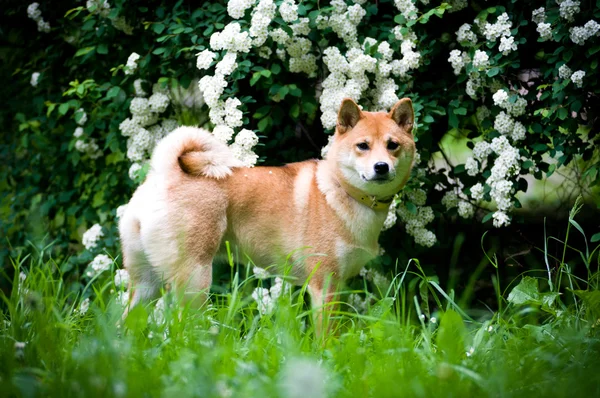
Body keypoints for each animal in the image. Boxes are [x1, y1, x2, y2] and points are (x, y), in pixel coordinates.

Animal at [119, 97, 414, 326]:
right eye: (363, 145)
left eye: (393, 145)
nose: (381, 167)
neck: (342, 192)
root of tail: (164, 174)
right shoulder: (324, 286)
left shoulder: (339, 286)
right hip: (194, 281)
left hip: (146, 285)